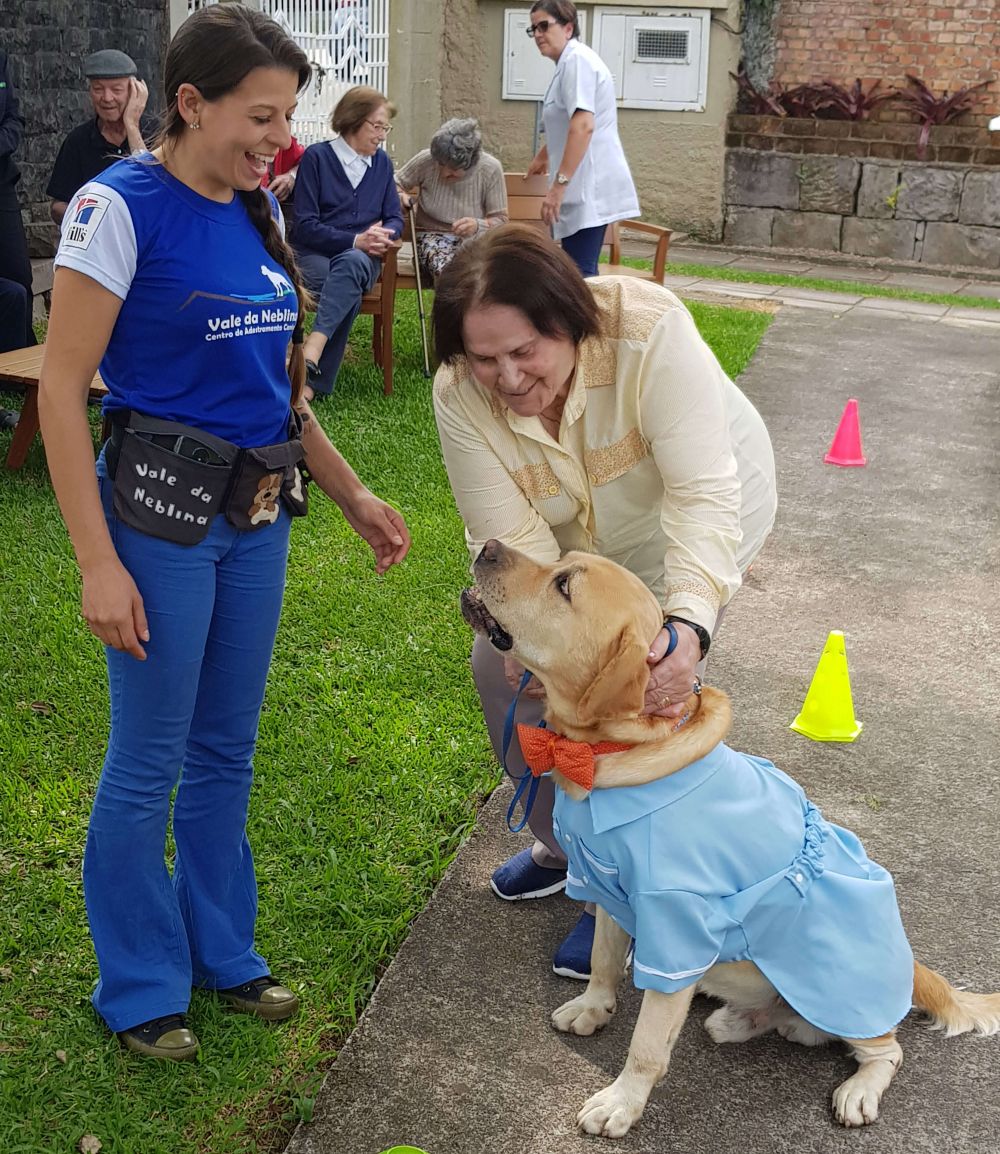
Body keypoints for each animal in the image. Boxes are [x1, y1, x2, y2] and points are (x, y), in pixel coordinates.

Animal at [463, 537, 1000, 1135]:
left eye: (564, 585)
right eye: (561, 560)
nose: (487, 546)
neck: (611, 752)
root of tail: (911, 966)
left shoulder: (674, 921)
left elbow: (647, 1044)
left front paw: (622, 1101)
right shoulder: (606, 888)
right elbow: (602, 960)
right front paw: (593, 1008)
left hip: (842, 995)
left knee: (887, 1048)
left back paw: (858, 1089)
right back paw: (741, 1019)